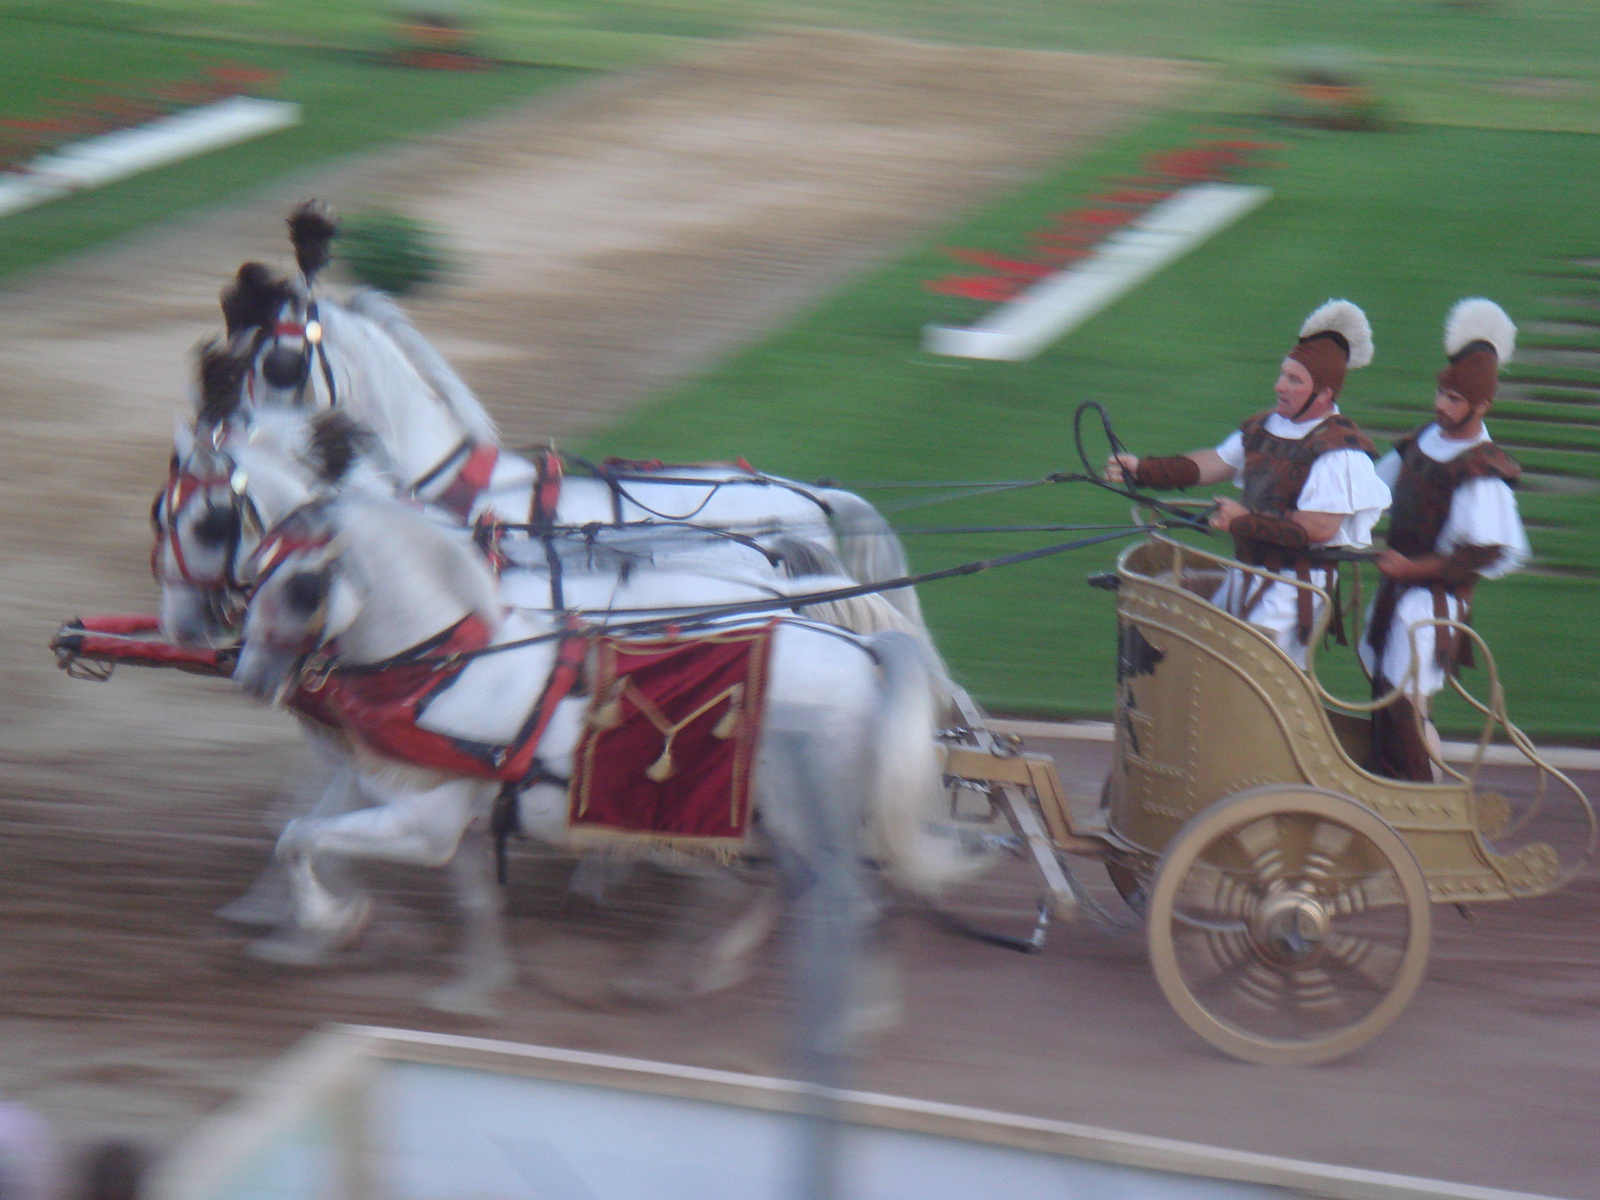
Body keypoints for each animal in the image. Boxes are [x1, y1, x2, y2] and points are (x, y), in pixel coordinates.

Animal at [224, 489, 972, 1017]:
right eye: (250, 576)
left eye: (298, 585)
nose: (249, 675)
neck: (447, 671)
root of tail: (865, 652)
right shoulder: (450, 817)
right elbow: (472, 898)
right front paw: (473, 988)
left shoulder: (422, 822)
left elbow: (300, 837)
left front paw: (331, 919)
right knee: (792, 890)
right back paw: (700, 967)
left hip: (801, 819)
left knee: (845, 900)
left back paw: (850, 1009)